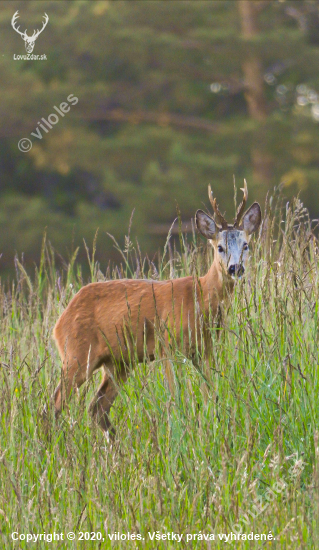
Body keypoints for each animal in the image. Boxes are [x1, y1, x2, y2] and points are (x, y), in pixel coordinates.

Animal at [53, 183, 262, 438]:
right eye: (220, 247)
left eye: (246, 245)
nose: (235, 268)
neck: (199, 298)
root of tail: (60, 321)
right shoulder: (166, 345)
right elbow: (176, 397)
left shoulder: (205, 349)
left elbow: (210, 393)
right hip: (76, 354)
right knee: (55, 404)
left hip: (118, 362)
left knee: (97, 407)